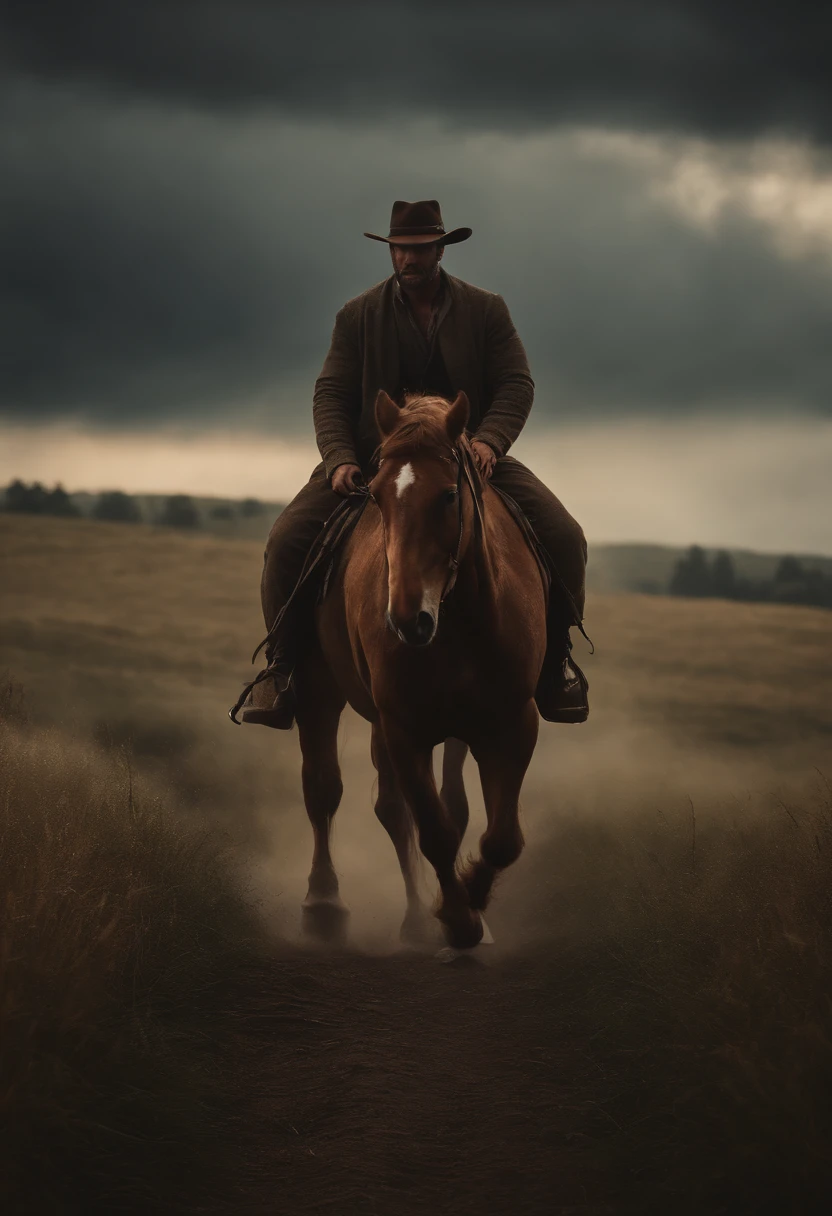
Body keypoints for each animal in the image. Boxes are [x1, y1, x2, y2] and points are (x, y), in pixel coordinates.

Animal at [290, 391, 544, 948]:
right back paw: (326, 904)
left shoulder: (510, 724)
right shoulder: (405, 729)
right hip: (322, 693)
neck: (460, 622)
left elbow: (499, 835)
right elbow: (434, 830)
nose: (407, 620)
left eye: (449, 495)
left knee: (416, 805)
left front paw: (472, 904)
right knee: (325, 788)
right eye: (377, 496)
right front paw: (457, 919)